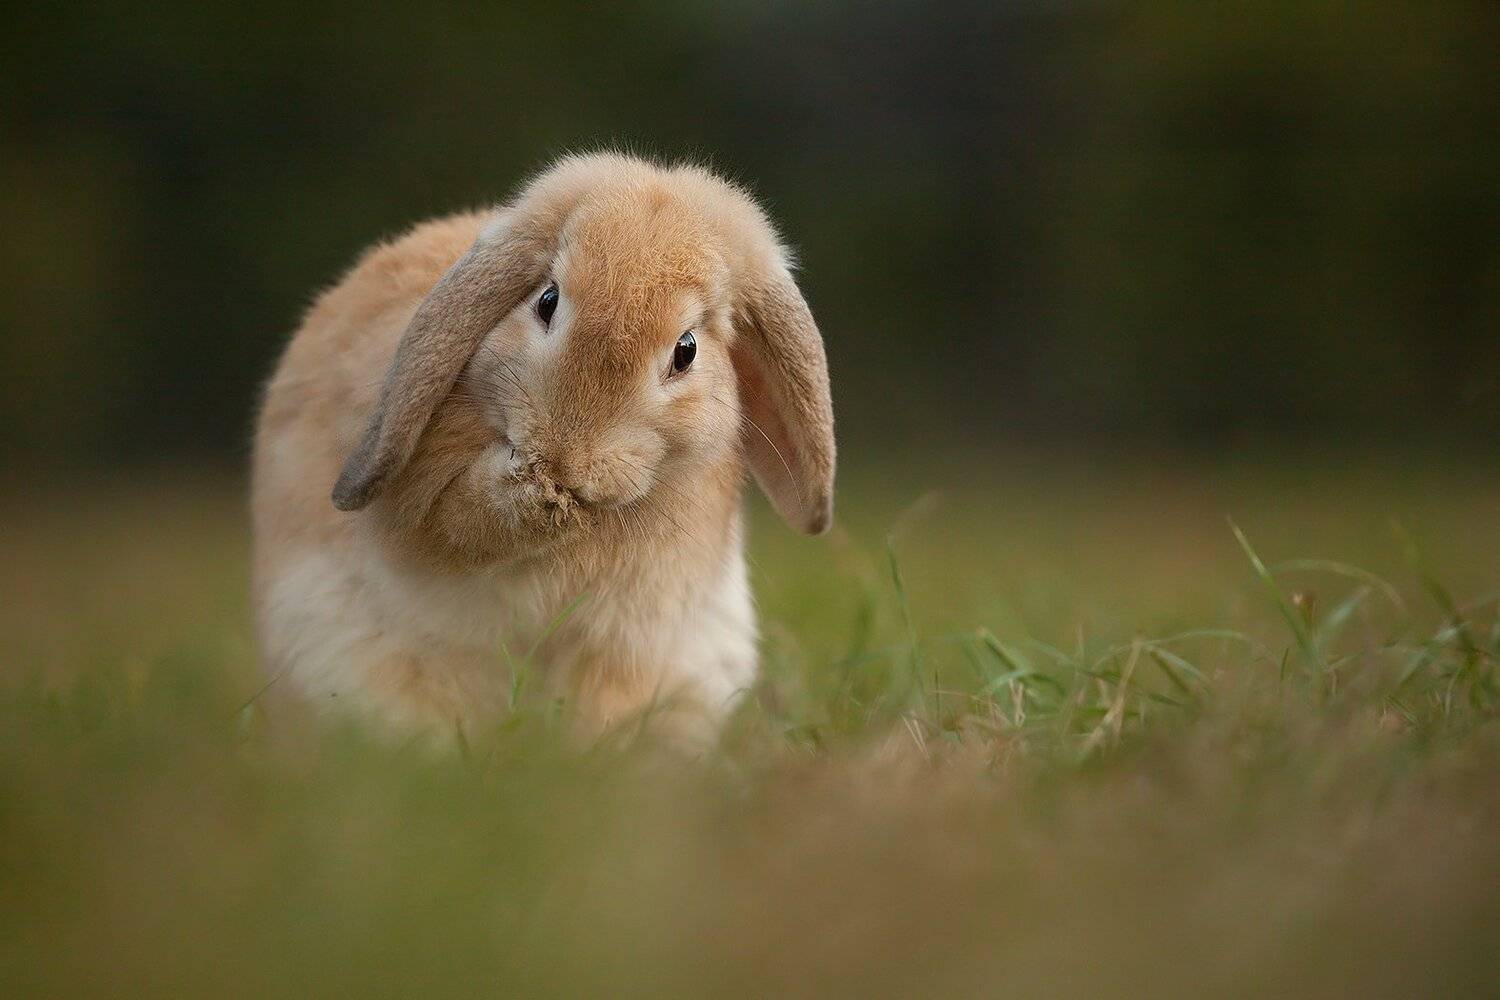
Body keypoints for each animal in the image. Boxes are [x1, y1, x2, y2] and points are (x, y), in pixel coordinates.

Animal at [250, 152, 835, 745]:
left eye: (687, 349)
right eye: (547, 301)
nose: (566, 457)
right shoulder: (411, 508)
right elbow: (451, 525)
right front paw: (535, 497)